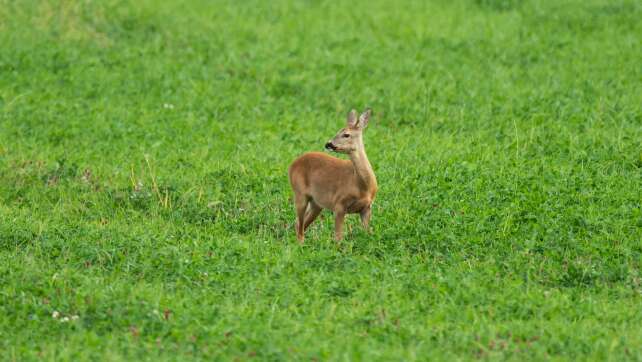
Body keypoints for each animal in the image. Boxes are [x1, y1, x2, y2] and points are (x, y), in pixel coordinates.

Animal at [286, 109, 376, 242]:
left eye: (346, 135)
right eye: (338, 131)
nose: (328, 144)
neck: (362, 186)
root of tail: (292, 164)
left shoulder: (366, 208)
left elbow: (368, 233)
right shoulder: (339, 204)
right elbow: (338, 237)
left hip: (316, 203)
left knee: (299, 224)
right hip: (299, 193)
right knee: (299, 224)